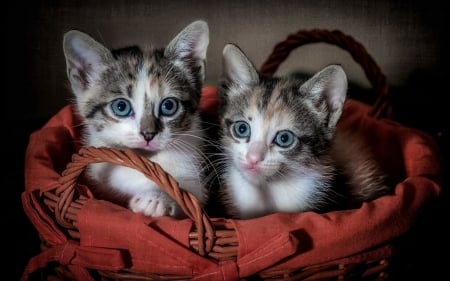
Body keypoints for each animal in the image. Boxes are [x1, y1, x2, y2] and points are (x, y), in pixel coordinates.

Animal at [62, 20, 210, 218]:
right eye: (121, 107)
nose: (148, 134)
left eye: (169, 106)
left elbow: (188, 198)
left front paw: (156, 198)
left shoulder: (196, 181)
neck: (145, 160)